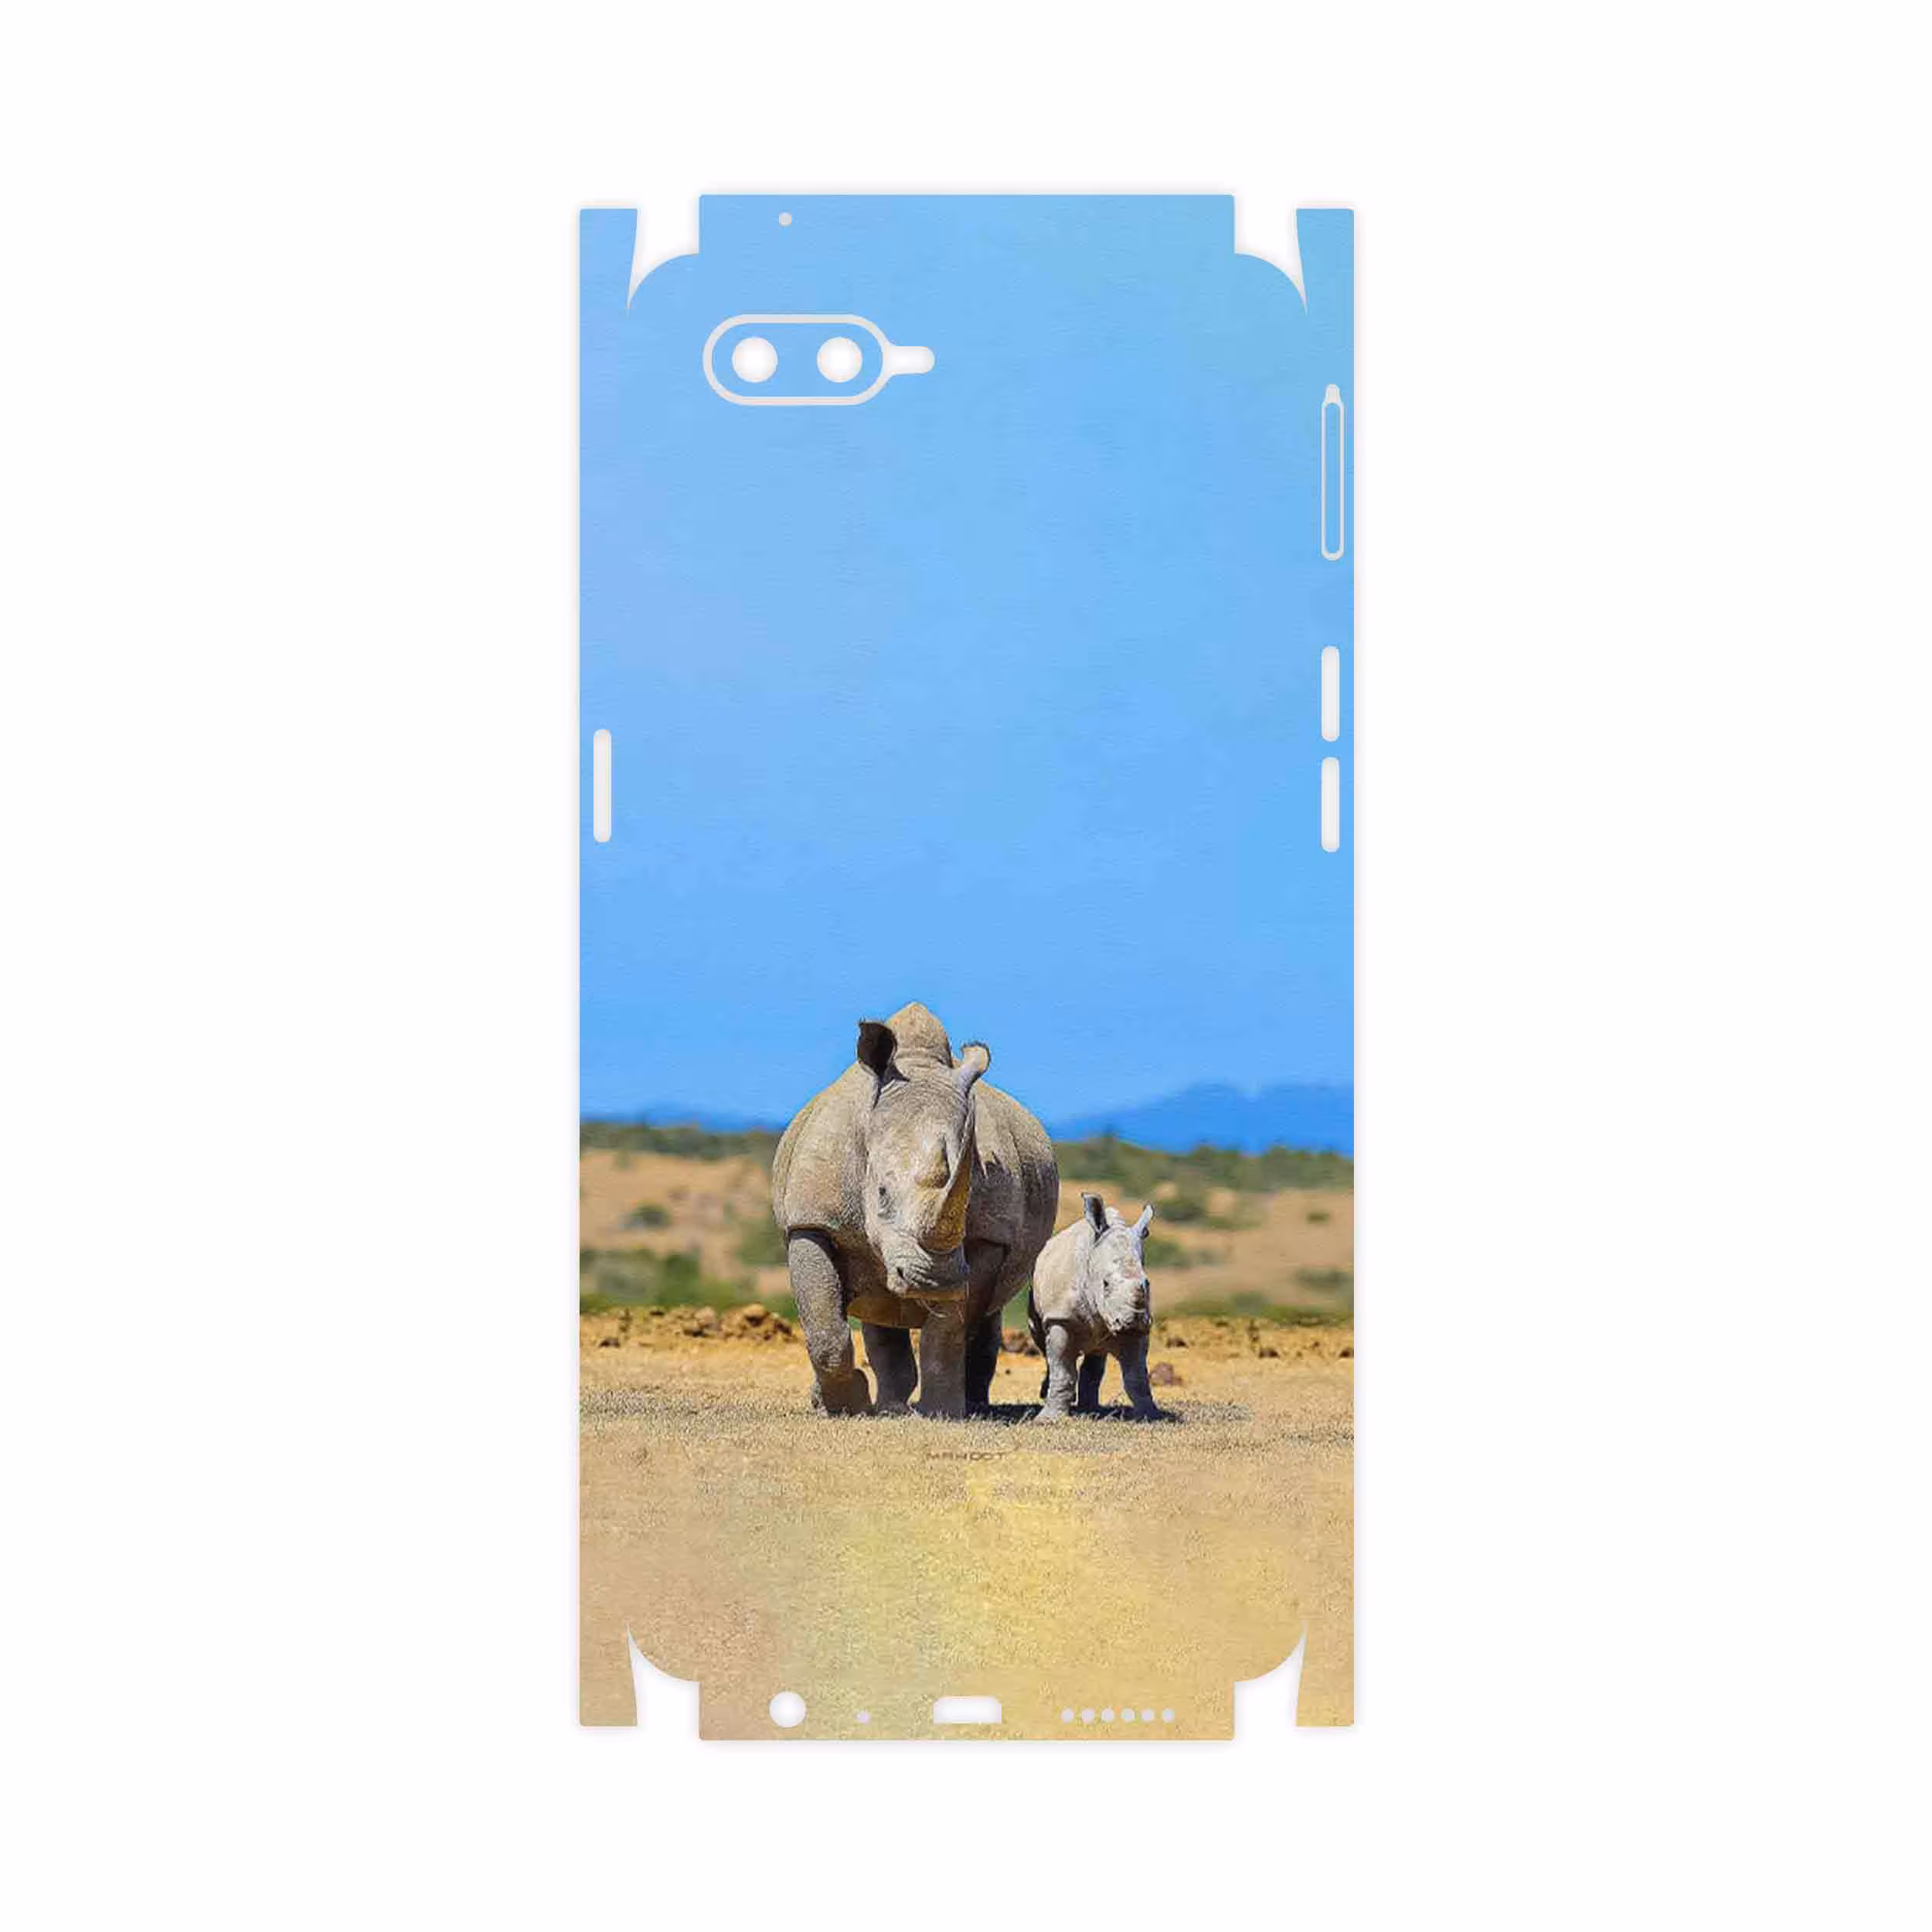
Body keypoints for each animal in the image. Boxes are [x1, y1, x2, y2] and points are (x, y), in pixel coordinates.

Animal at [770, 1002, 1060, 1418]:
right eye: (881, 1193)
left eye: (968, 1197)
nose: (933, 1280)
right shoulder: (812, 1220)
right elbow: (824, 1325)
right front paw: (845, 1406)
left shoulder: (988, 1237)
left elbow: (949, 1329)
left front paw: (942, 1411)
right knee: (876, 1307)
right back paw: (884, 1406)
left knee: (983, 1315)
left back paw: (969, 1404)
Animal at [1027, 1194, 1162, 1420]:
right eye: (1105, 1284)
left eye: (1147, 1283)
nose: (1133, 1321)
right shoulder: (1060, 1318)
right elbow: (1062, 1371)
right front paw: (1048, 1420)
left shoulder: (1140, 1328)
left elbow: (1137, 1377)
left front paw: (1151, 1416)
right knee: (1044, 1346)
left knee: (1096, 1353)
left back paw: (1090, 1409)